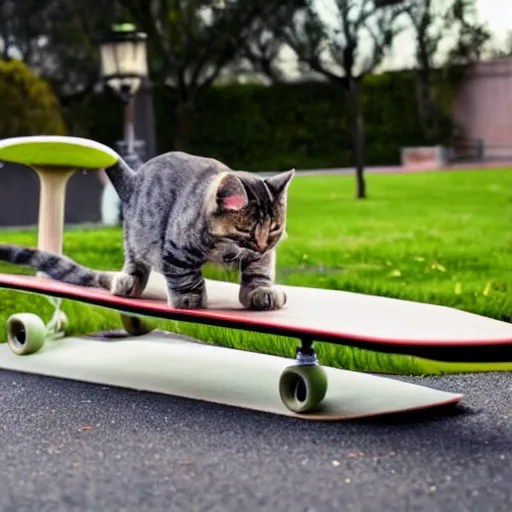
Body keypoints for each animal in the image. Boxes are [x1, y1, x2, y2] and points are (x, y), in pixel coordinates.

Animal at [0, 152, 294, 310]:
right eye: (246, 230)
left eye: (274, 228)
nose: (262, 244)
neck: (222, 250)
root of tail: (134, 178)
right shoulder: (176, 248)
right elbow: (185, 274)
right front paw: (189, 297)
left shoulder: (262, 256)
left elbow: (259, 271)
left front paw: (260, 292)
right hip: (138, 234)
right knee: (134, 260)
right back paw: (128, 281)